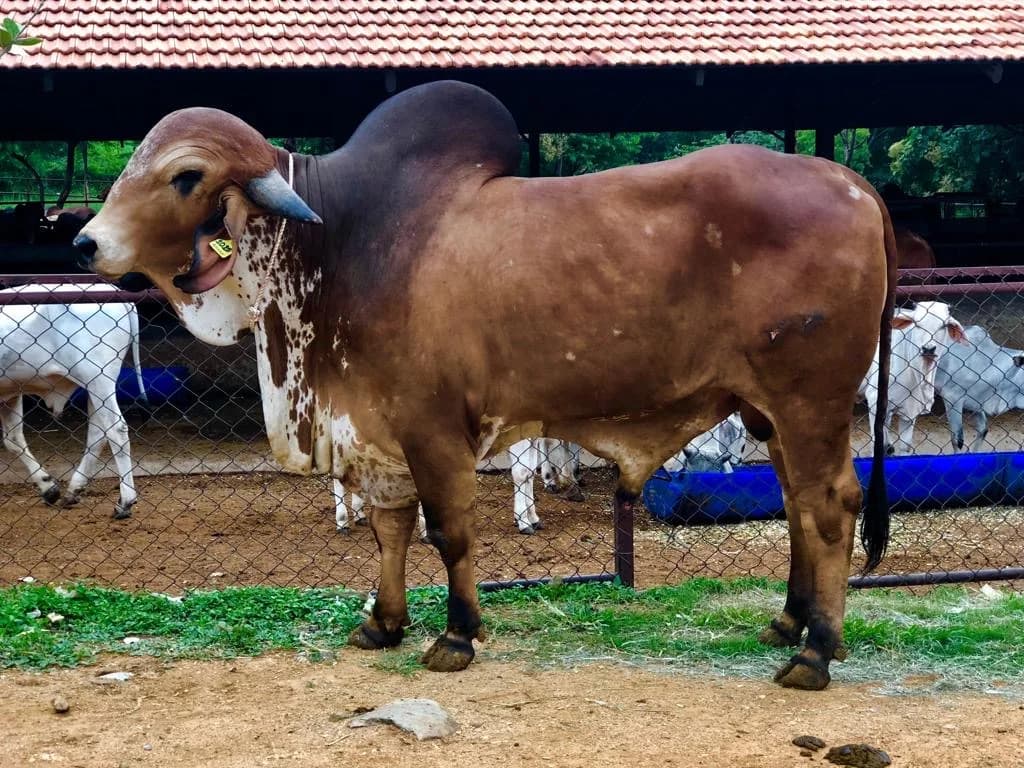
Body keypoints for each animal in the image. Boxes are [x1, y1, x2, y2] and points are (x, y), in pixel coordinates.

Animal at [0, 282, 144, 518]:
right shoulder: (11, 392)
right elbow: (13, 439)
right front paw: (48, 487)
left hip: (98, 377)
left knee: (116, 430)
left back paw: (125, 502)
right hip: (97, 385)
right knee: (98, 433)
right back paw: (74, 489)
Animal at [75, 80, 895, 690]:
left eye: (184, 176)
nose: (86, 242)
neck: (339, 243)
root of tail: (853, 182)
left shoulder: (432, 428)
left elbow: (448, 530)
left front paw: (456, 635)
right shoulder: (375, 431)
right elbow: (390, 528)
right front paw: (383, 622)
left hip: (810, 401)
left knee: (830, 506)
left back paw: (816, 650)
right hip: (768, 412)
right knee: (795, 504)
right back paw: (787, 622)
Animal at [859, 301, 966, 455]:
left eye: (943, 326)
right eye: (917, 324)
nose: (928, 349)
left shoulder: (910, 412)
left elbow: (905, 445)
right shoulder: (874, 401)